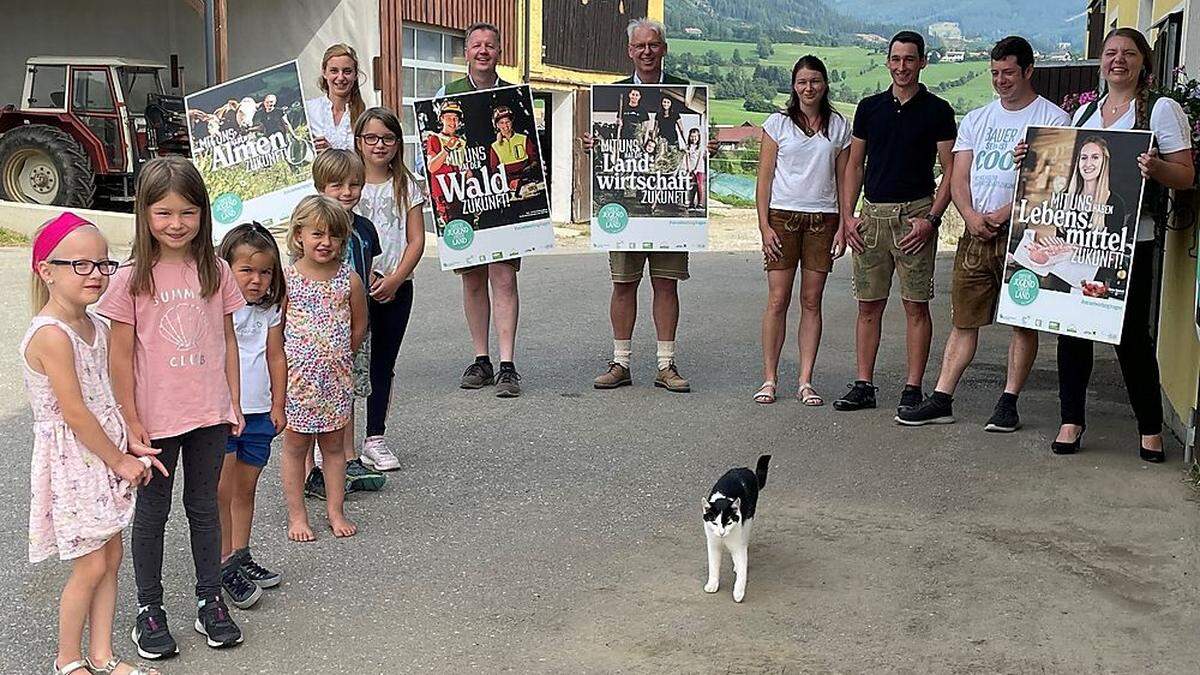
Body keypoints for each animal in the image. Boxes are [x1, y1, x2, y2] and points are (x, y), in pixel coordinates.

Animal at [700, 454, 772, 600]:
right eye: (714, 523)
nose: (721, 533)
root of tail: (745, 469)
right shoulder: (713, 544)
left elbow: (742, 569)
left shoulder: (738, 546)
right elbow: (713, 565)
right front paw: (712, 584)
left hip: (748, 521)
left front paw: (738, 592)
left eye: (728, 523)